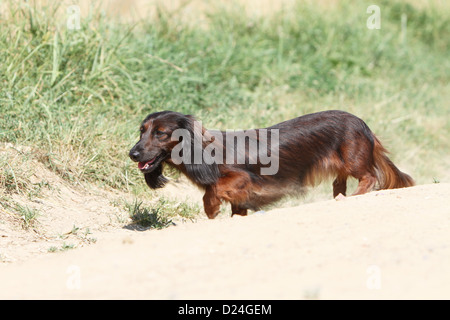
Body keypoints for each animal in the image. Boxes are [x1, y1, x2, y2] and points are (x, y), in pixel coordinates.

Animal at [129, 109, 414, 218]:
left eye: (161, 133)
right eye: (141, 131)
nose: (132, 154)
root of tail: (363, 123)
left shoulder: (242, 179)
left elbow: (212, 190)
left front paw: (211, 209)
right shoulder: (240, 197)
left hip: (354, 159)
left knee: (369, 178)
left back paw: (353, 197)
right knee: (339, 184)